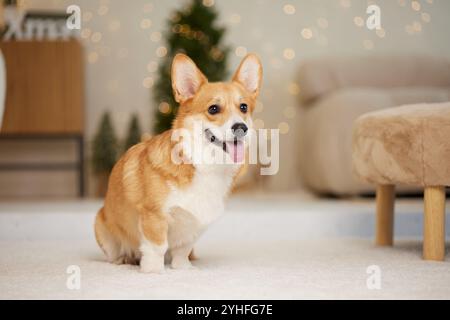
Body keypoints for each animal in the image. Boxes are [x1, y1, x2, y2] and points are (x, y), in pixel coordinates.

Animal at [95, 52, 264, 272]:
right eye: (213, 109)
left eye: (243, 107)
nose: (241, 127)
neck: (205, 164)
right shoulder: (154, 216)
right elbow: (157, 247)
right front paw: (153, 271)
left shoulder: (193, 225)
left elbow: (182, 249)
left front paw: (183, 269)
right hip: (101, 226)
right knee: (115, 254)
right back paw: (124, 259)